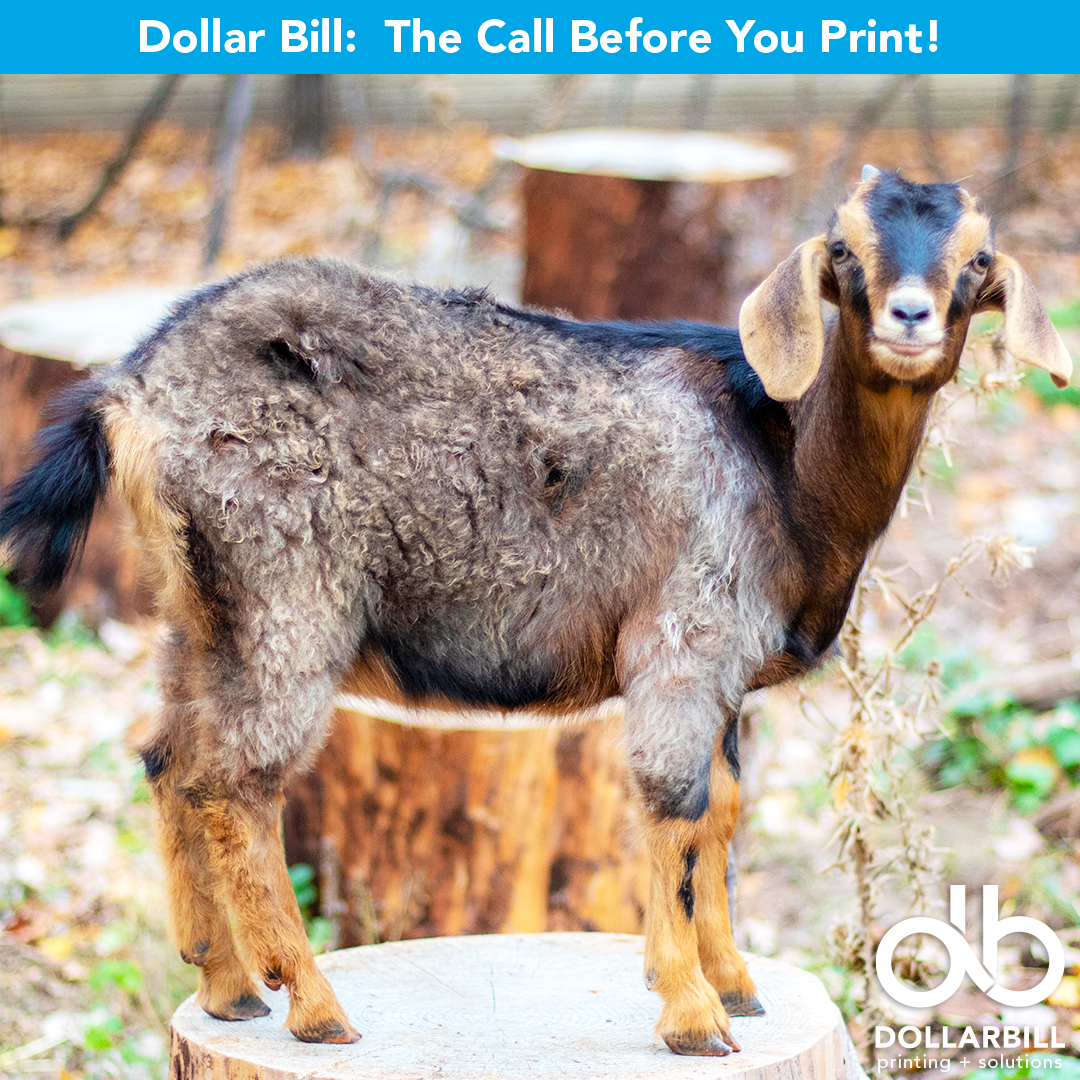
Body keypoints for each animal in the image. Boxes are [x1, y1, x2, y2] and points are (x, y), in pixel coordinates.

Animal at [0, 167, 1071, 1055]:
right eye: (844, 247)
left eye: (977, 256)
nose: (908, 316)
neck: (779, 456)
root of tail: (127, 389)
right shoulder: (684, 641)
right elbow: (676, 809)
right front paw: (692, 1013)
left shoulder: (725, 678)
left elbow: (722, 811)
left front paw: (737, 985)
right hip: (284, 600)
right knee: (239, 784)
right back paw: (311, 1004)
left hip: (198, 612)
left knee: (170, 760)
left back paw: (225, 989)